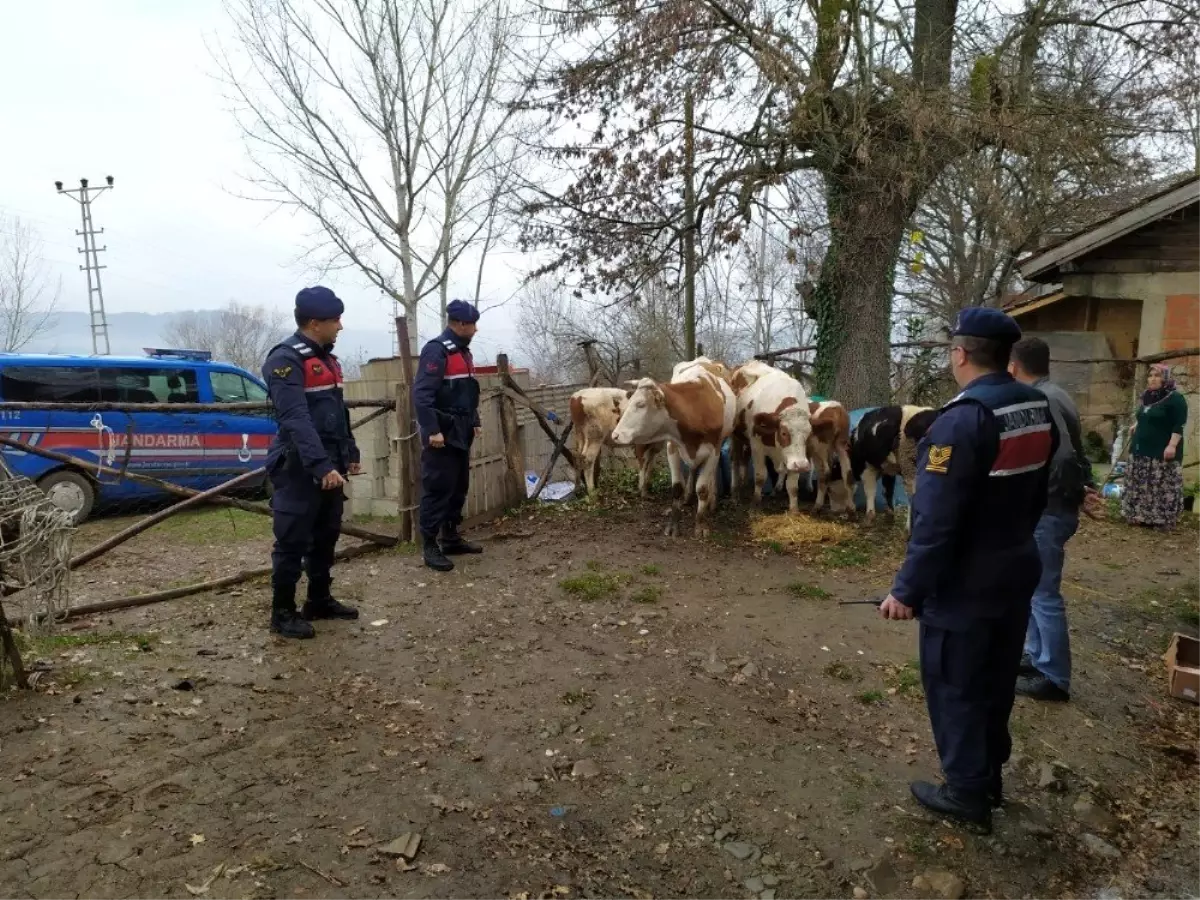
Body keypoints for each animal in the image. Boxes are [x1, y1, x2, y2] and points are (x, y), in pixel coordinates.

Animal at [614, 357, 734, 540]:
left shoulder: (714, 449)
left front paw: (701, 524)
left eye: (641, 404)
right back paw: (688, 496)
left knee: (711, 475)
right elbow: (677, 487)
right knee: (692, 469)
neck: (696, 408)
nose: (615, 435)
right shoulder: (673, 448)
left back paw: (711, 502)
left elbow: (703, 488)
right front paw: (673, 526)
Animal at [724, 362, 811, 513]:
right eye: (784, 432)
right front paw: (755, 503)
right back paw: (735, 492)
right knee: (735, 459)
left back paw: (746, 484)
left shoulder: (795, 458)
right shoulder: (757, 447)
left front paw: (794, 510)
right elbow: (760, 476)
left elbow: (793, 485)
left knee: (745, 458)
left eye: (808, 433)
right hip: (736, 436)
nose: (802, 465)